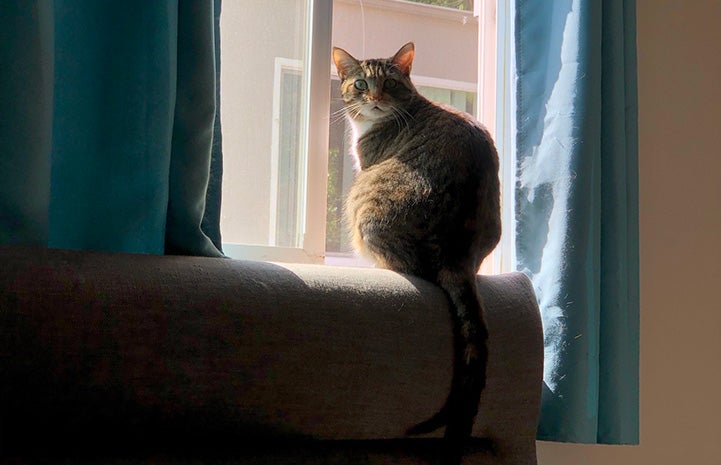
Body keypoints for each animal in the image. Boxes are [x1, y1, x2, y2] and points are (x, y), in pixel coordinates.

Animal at [332, 41, 500, 462]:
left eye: (390, 82)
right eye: (361, 84)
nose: (375, 98)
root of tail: (458, 255)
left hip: (364, 203)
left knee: (408, 267)